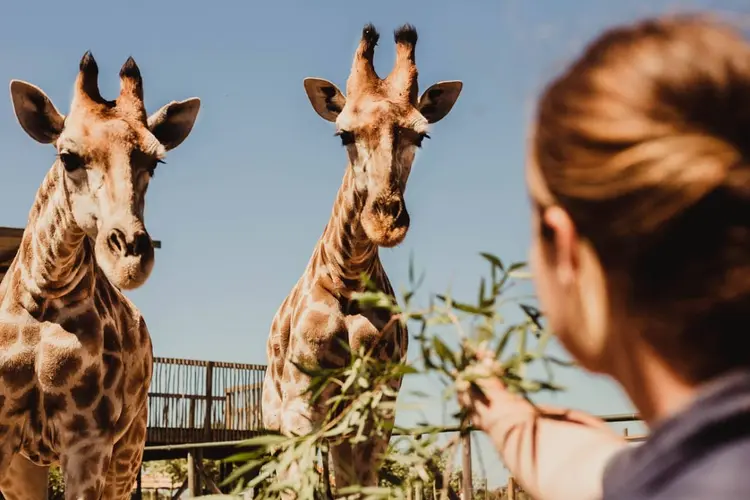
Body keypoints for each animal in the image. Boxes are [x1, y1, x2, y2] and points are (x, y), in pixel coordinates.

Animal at [0, 52, 200, 499]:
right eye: (68, 157)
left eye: (154, 162)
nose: (130, 259)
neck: (44, 295)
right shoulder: (4, 436)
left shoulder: (88, 440)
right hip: (28, 466)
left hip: (129, 451)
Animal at [261, 23, 462, 496]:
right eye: (344, 134)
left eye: (421, 135)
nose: (384, 222)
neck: (349, 278)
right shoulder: (300, 404)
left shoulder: (378, 408)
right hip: (275, 421)